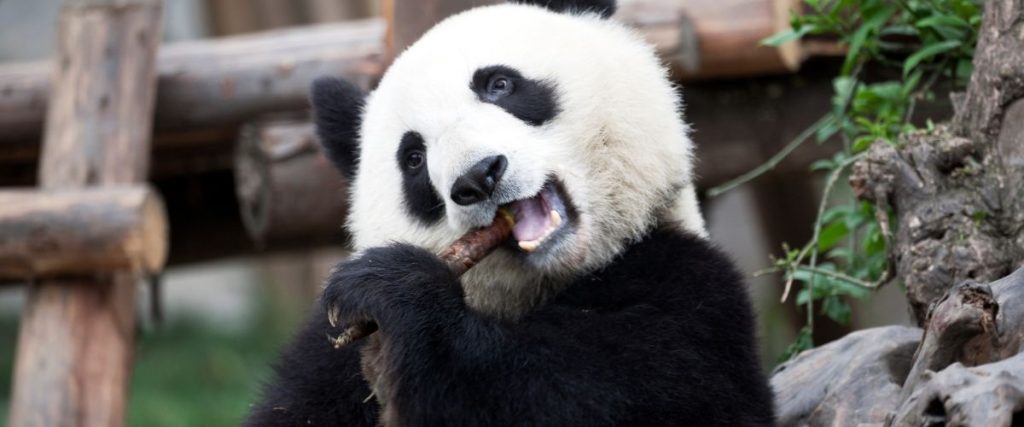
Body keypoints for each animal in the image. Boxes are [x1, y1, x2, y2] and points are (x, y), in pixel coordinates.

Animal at [245, 0, 775, 425]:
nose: (478, 176)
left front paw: (396, 290)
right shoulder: (329, 358)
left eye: (499, 84)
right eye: (413, 157)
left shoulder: (687, 291)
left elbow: (578, 392)